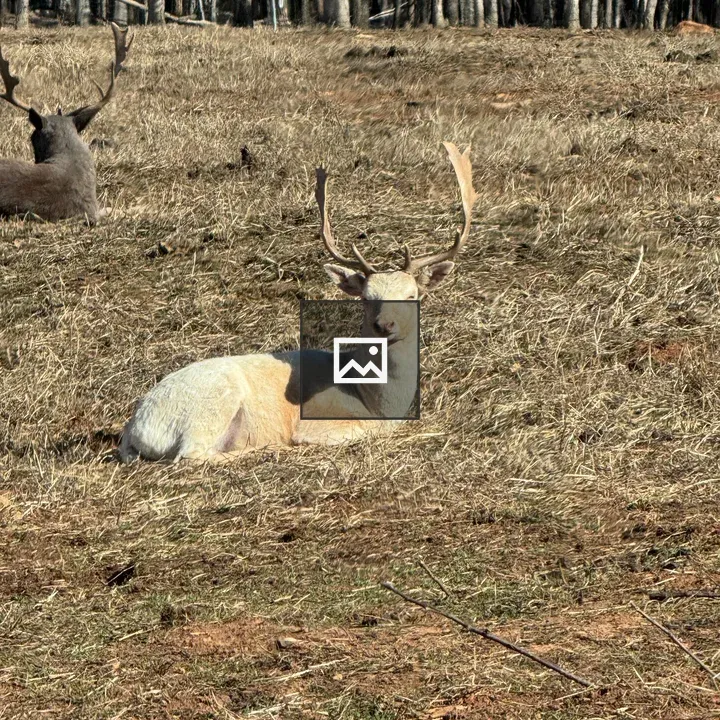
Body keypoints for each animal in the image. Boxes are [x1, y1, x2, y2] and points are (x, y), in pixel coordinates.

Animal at [118, 142, 477, 464]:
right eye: (366, 297)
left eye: (412, 295)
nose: (384, 324)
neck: (374, 400)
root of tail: (135, 428)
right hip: (211, 404)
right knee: (190, 455)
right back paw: (270, 447)